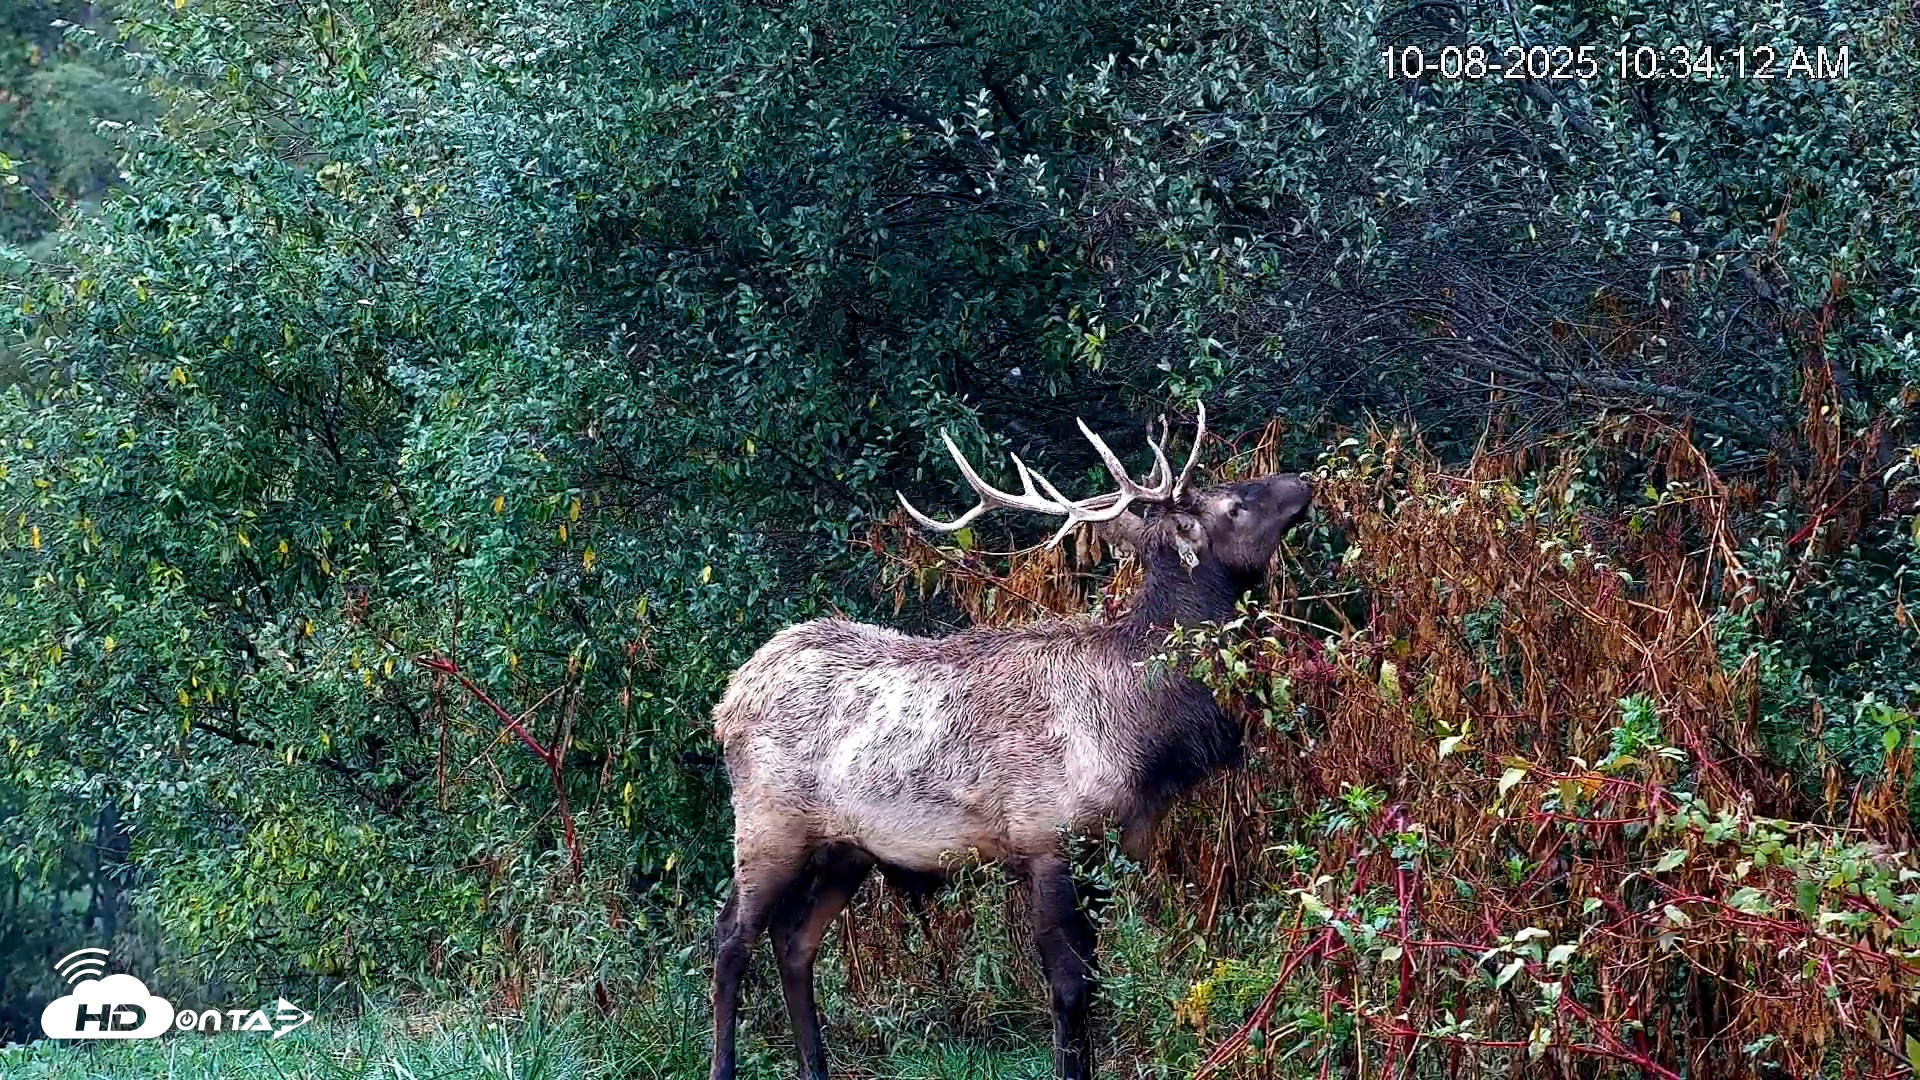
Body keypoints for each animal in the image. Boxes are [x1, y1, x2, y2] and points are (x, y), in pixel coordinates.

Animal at [707, 404, 1314, 1080]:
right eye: (1234, 504)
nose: (1303, 480)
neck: (1148, 734)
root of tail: (729, 698)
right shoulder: (1046, 840)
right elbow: (1070, 989)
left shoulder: (1107, 852)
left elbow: (1092, 984)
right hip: (767, 824)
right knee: (731, 937)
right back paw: (724, 1065)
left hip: (846, 849)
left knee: (794, 941)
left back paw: (816, 1067)